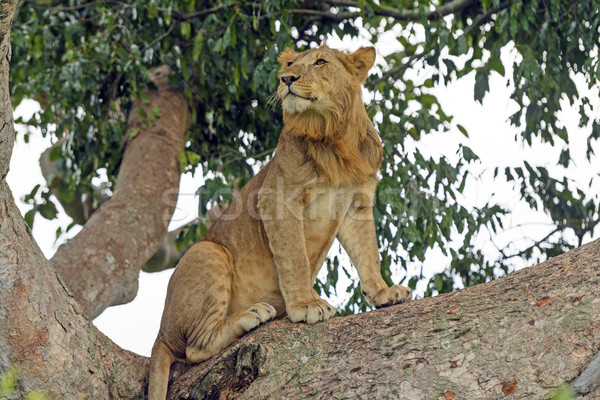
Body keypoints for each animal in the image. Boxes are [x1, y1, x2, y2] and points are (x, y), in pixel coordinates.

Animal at [148, 45, 414, 398]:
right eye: (289, 64)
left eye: (320, 62)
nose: (286, 78)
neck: (333, 134)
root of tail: (160, 333)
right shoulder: (277, 199)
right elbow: (294, 258)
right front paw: (305, 305)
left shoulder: (358, 203)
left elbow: (368, 254)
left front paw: (384, 293)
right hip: (207, 252)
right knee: (193, 348)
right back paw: (252, 314)